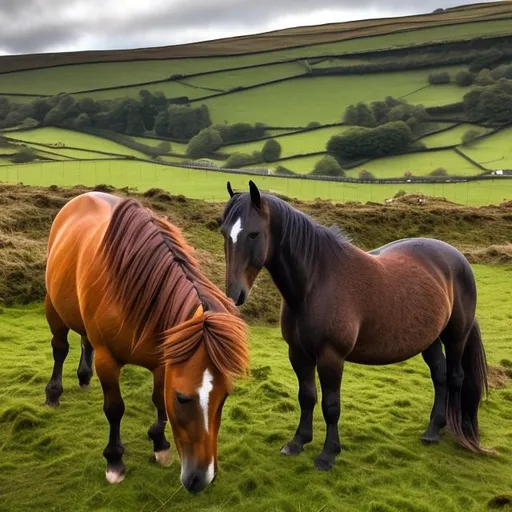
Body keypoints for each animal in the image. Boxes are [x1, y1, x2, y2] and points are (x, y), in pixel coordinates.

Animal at [45, 193, 249, 492]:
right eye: (182, 398)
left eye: (224, 397)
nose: (201, 479)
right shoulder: (108, 360)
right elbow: (115, 408)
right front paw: (115, 460)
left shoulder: (163, 363)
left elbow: (157, 401)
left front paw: (160, 444)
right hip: (53, 307)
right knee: (60, 349)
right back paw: (53, 394)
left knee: (84, 341)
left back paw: (83, 376)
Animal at [221, 181, 492, 472]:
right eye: (224, 232)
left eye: (253, 234)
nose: (234, 295)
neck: (316, 282)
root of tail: (457, 258)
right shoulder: (298, 353)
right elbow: (306, 396)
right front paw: (298, 442)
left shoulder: (331, 356)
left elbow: (331, 405)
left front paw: (328, 454)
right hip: (429, 338)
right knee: (439, 376)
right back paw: (433, 429)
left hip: (456, 336)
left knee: (455, 377)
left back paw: (456, 431)